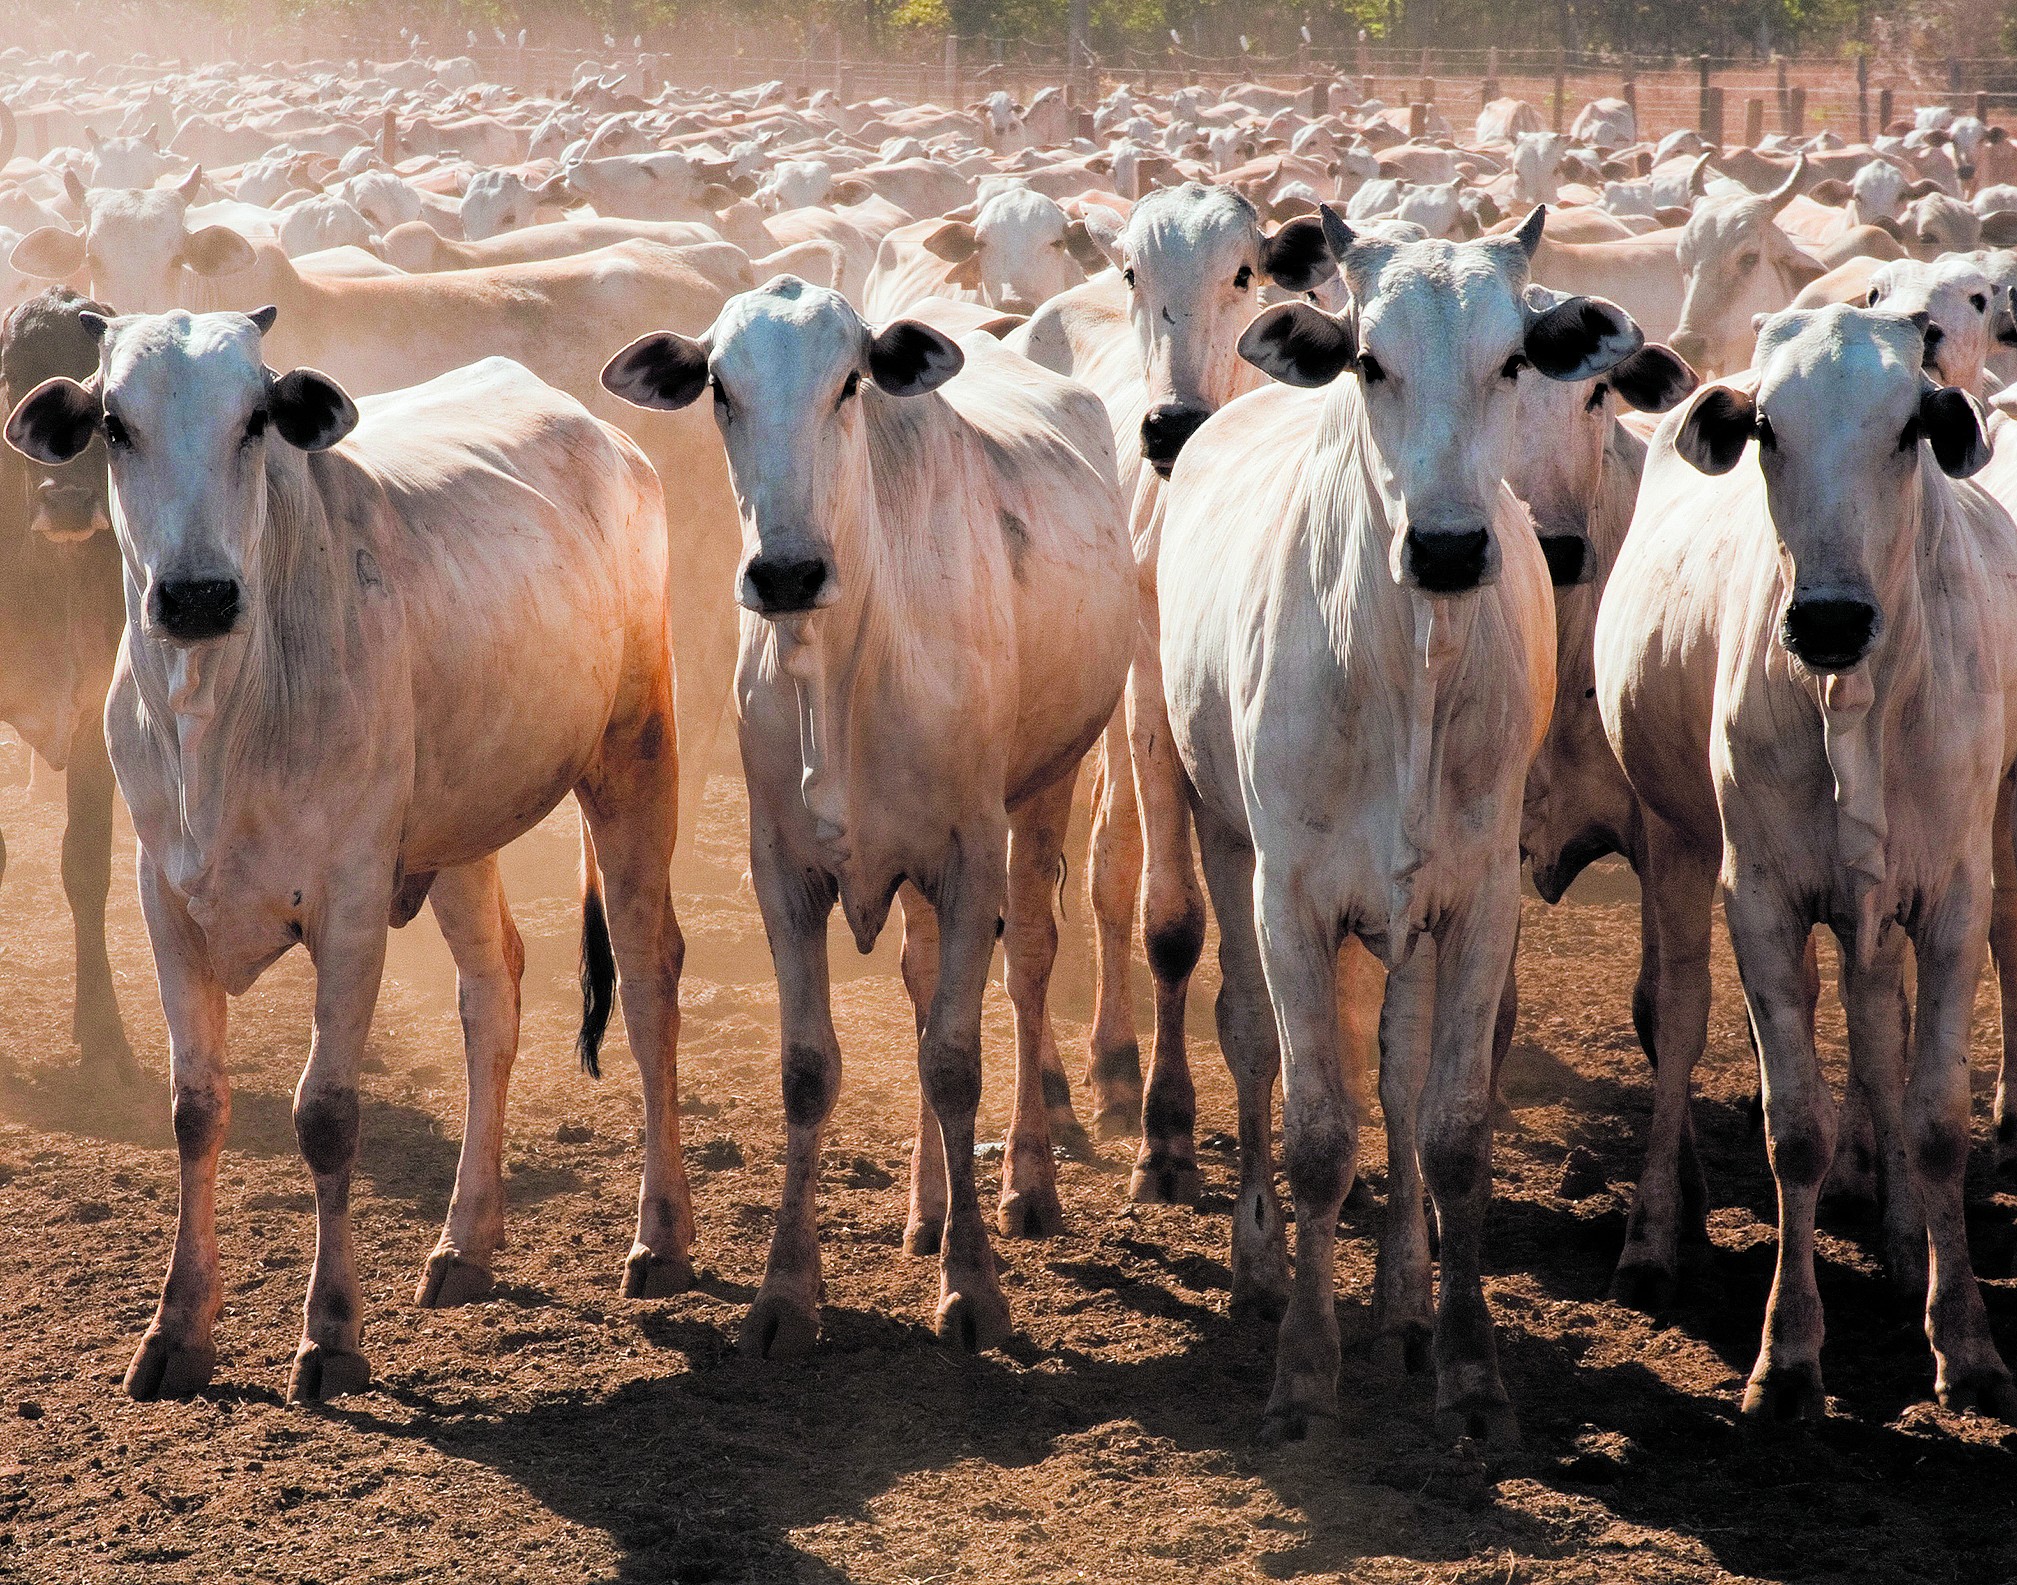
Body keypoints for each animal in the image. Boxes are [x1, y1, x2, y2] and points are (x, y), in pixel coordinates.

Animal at [5, 314, 693, 1403]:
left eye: (256, 418)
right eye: (115, 422)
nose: (196, 595)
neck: (224, 709)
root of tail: (601, 434)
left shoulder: (352, 902)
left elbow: (326, 1115)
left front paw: (330, 1334)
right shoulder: (165, 899)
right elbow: (196, 1109)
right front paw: (176, 1328)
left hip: (634, 752)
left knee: (648, 973)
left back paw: (661, 1237)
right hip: (460, 834)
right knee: (492, 991)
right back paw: (466, 1240)